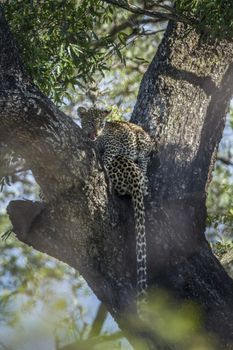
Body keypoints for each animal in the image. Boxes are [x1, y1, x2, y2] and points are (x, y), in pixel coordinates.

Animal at [77, 106, 152, 314]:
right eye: (89, 122)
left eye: (100, 124)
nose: (95, 132)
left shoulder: (112, 145)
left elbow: (105, 155)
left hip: (141, 147)